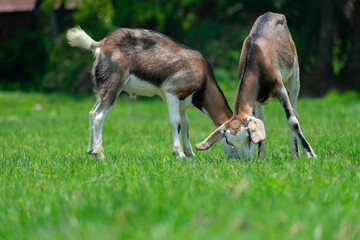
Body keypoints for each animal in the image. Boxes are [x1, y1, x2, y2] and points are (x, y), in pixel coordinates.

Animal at [195, 12, 316, 159]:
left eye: (248, 136)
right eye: (229, 142)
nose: (245, 159)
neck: (255, 60)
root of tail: (273, 14)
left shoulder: (280, 89)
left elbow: (292, 121)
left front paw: (309, 153)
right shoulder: (255, 98)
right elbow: (260, 118)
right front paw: (260, 155)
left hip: (294, 78)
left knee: (295, 110)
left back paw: (295, 152)